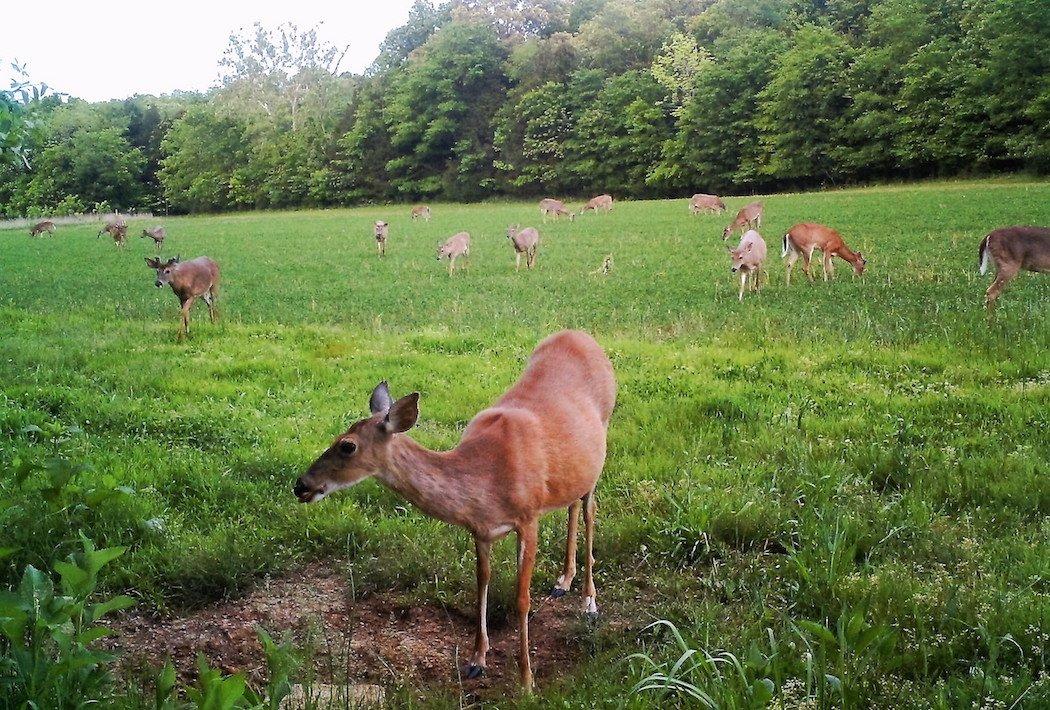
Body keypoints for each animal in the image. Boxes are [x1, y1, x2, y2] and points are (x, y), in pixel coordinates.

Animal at [291, 329, 617, 688]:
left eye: (347, 446)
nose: (301, 485)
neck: (485, 480)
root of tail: (581, 334)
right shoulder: (481, 531)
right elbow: (481, 584)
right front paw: (477, 660)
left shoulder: (528, 517)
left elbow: (521, 599)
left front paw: (526, 680)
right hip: (575, 467)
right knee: (573, 503)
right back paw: (563, 581)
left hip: (601, 444)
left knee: (589, 511)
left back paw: (589, 601)